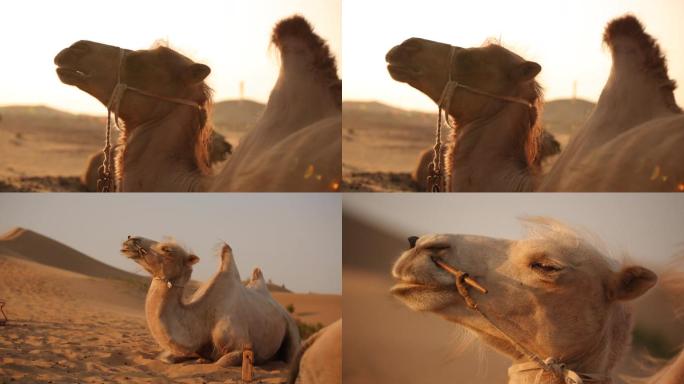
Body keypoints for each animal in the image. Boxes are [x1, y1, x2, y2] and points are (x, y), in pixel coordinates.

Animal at [119, 236, 300, 364]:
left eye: (167, 249)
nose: (131, 239)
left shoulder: (242, 346)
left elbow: (220, 363)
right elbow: (164, 358)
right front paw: (199, 359)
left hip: (291, 329)